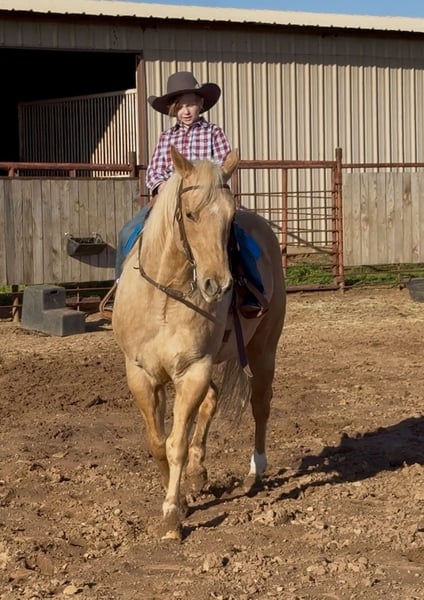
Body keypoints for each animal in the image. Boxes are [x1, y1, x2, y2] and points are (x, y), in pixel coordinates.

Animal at [112, 146, 286, 540]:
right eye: (190, 214)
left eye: (230, 217)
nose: (217, 285)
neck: (165, 296)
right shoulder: (141, 375)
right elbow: (157, 443)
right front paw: (180, 496)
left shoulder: (193, 370)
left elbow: (175, 443)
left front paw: (172, 515)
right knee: (213, 401)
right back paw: (198, 474)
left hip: (263, 350)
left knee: (260, 406)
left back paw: (255, 472)